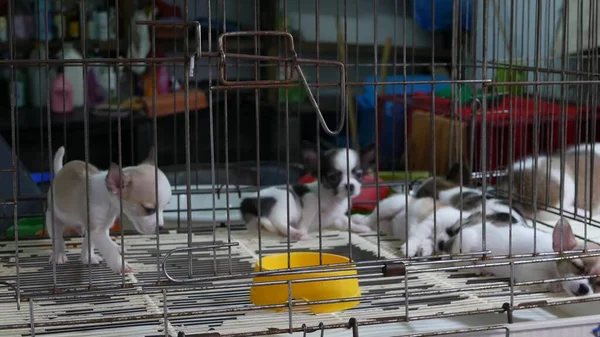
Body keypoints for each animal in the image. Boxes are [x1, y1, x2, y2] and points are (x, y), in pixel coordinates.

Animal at [239, 142, 376, 239]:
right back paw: (295, 233)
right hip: (288, 203)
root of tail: (249, 201)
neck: (333, 198)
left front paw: (357, 227)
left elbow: (346, 221)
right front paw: (303, 230)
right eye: (333, 177)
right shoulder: (311, 200)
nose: (350, 186)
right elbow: (306, 220)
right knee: (278, 221)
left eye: (359, 175)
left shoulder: (336, 217)